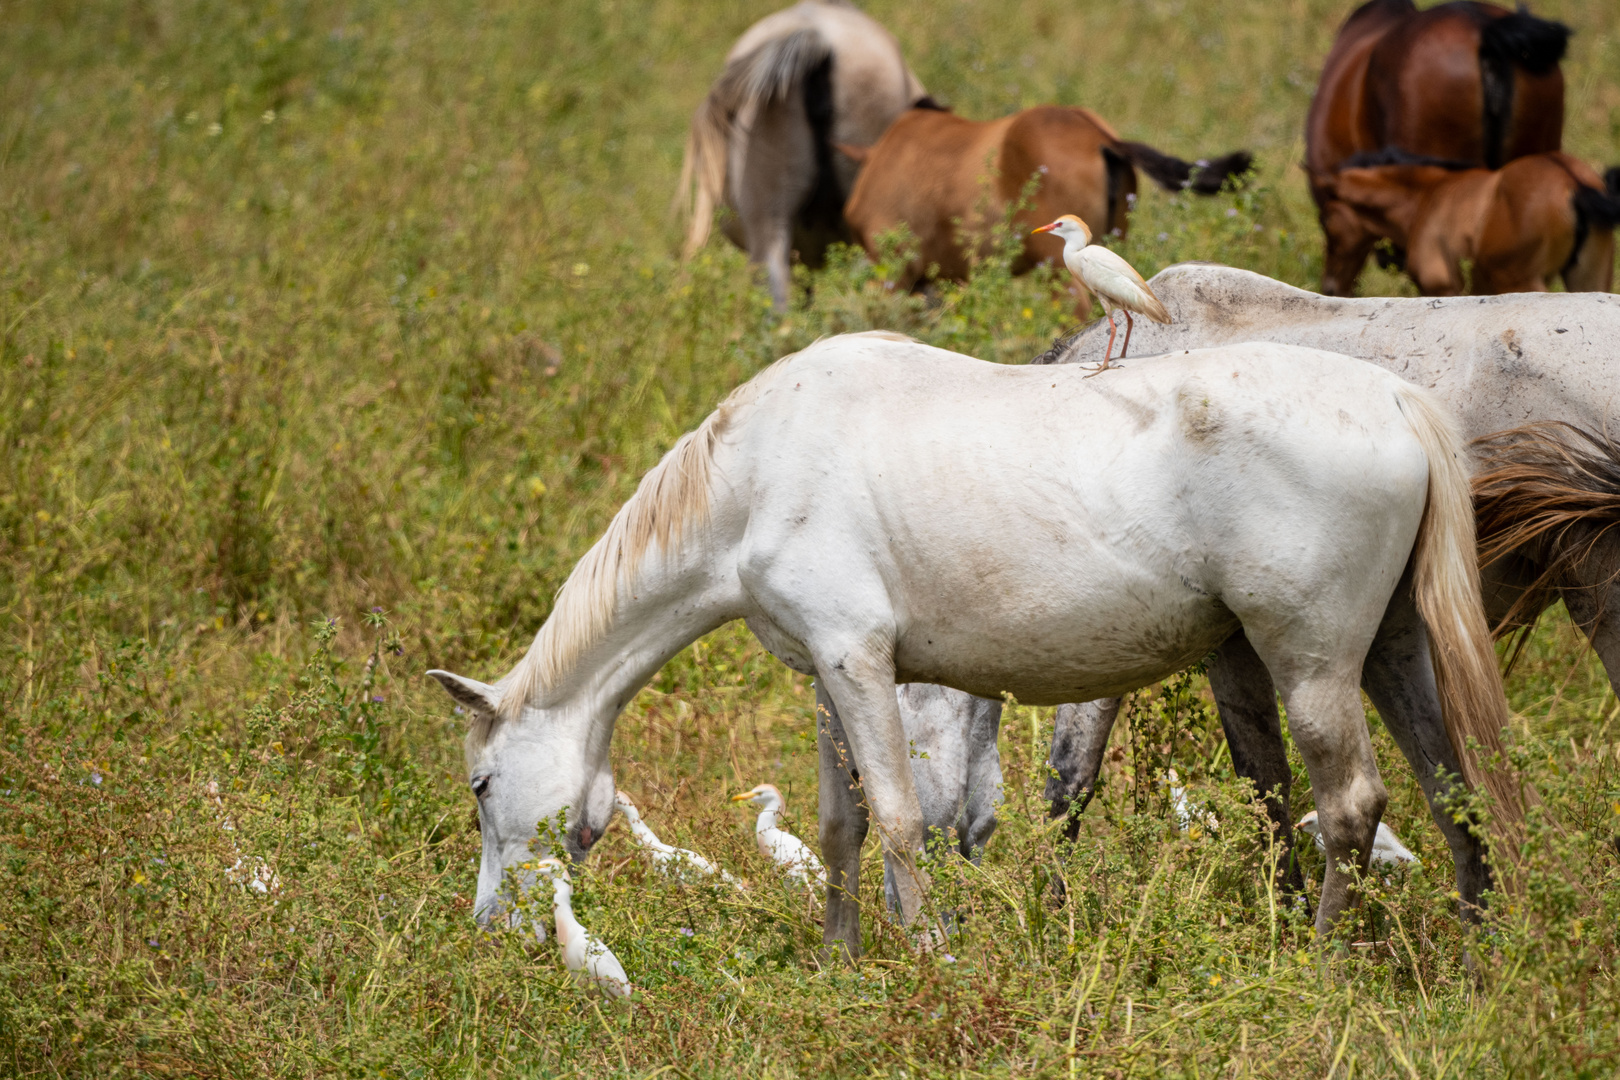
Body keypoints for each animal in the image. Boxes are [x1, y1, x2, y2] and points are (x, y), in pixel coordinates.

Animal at [427, 333, 1503, 958]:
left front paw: (929, 957)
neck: (754, 474)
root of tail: (1394, 401)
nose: (488, 925)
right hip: (1393, 650)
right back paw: (1477, 940)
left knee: (1351, 805)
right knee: (1451, 790)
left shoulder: (859, 662)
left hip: (1311, 662)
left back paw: (1321, 958)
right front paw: (841, 962)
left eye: (480, 786)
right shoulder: (827, 676)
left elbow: (901, 820)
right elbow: (841, 827)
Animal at [1321, 149, 1613, 296]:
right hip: (1589, 280)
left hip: (1521, 282)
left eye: (1327, 220)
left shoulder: (1442, 289)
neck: (1428, 196)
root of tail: (1573, 183)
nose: (1330, 287)